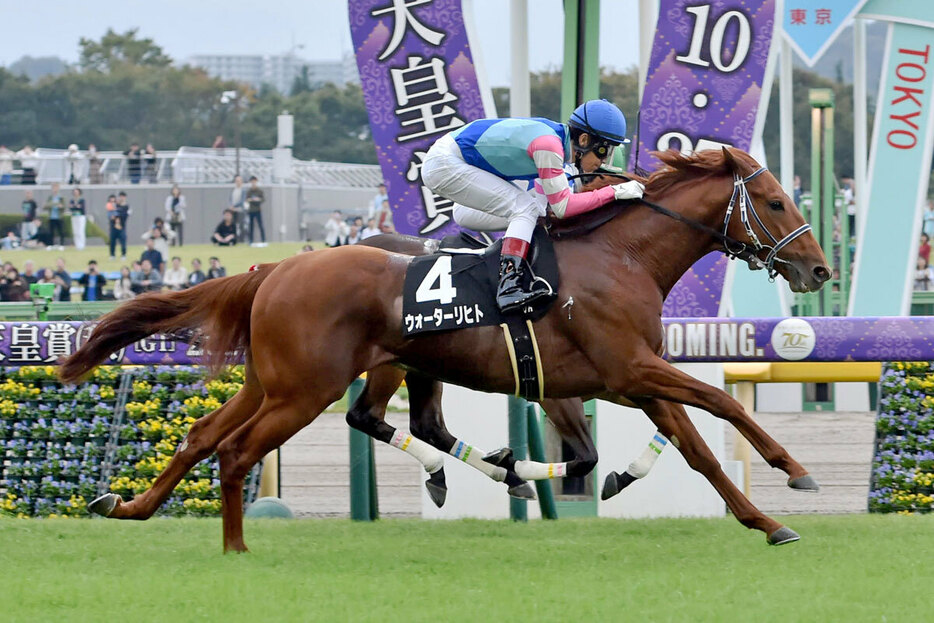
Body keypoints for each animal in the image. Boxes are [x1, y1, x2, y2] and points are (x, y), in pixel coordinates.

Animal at [60, 149, 832, 552]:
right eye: (774, 200)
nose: (819, 269)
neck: (619, 256)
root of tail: (275, 268)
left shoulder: (629, 377)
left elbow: (696, 449)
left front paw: (765, 521)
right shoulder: (628, 367)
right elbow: (722, 402)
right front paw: (793, 468)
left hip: (279, 381)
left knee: (202, 435)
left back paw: (127, 505)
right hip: (306, 388)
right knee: (239, 451)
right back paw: (236, 547)